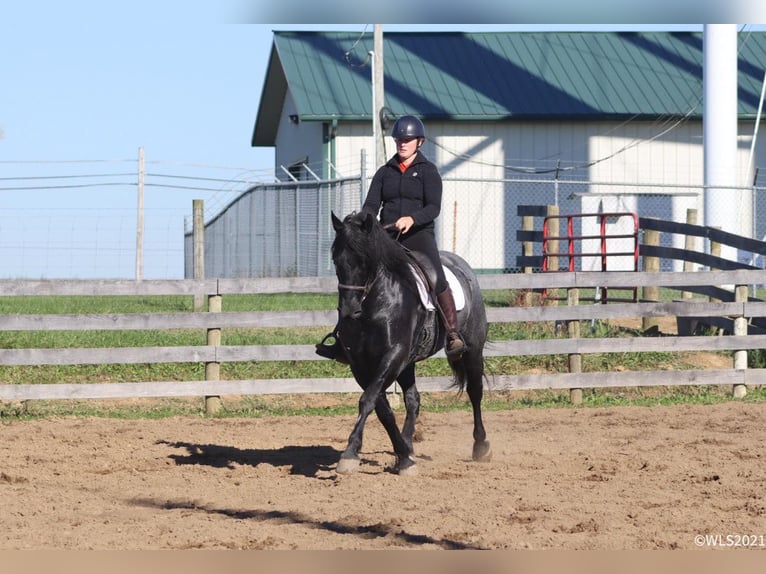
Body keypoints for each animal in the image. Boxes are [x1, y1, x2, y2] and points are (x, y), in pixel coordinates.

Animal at [330, 212, 492, 476]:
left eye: (365, 259)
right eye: (336, 260)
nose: (348, 311)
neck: (375, 305)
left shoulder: (394, 354)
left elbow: (368, 400)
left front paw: (350, 453)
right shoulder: (361, 364)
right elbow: (381, 407)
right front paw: (403, 456)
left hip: (472, 350)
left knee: (475, 392)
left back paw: (480, 446)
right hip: (408, 363)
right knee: (413, 400)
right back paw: (407, 446)